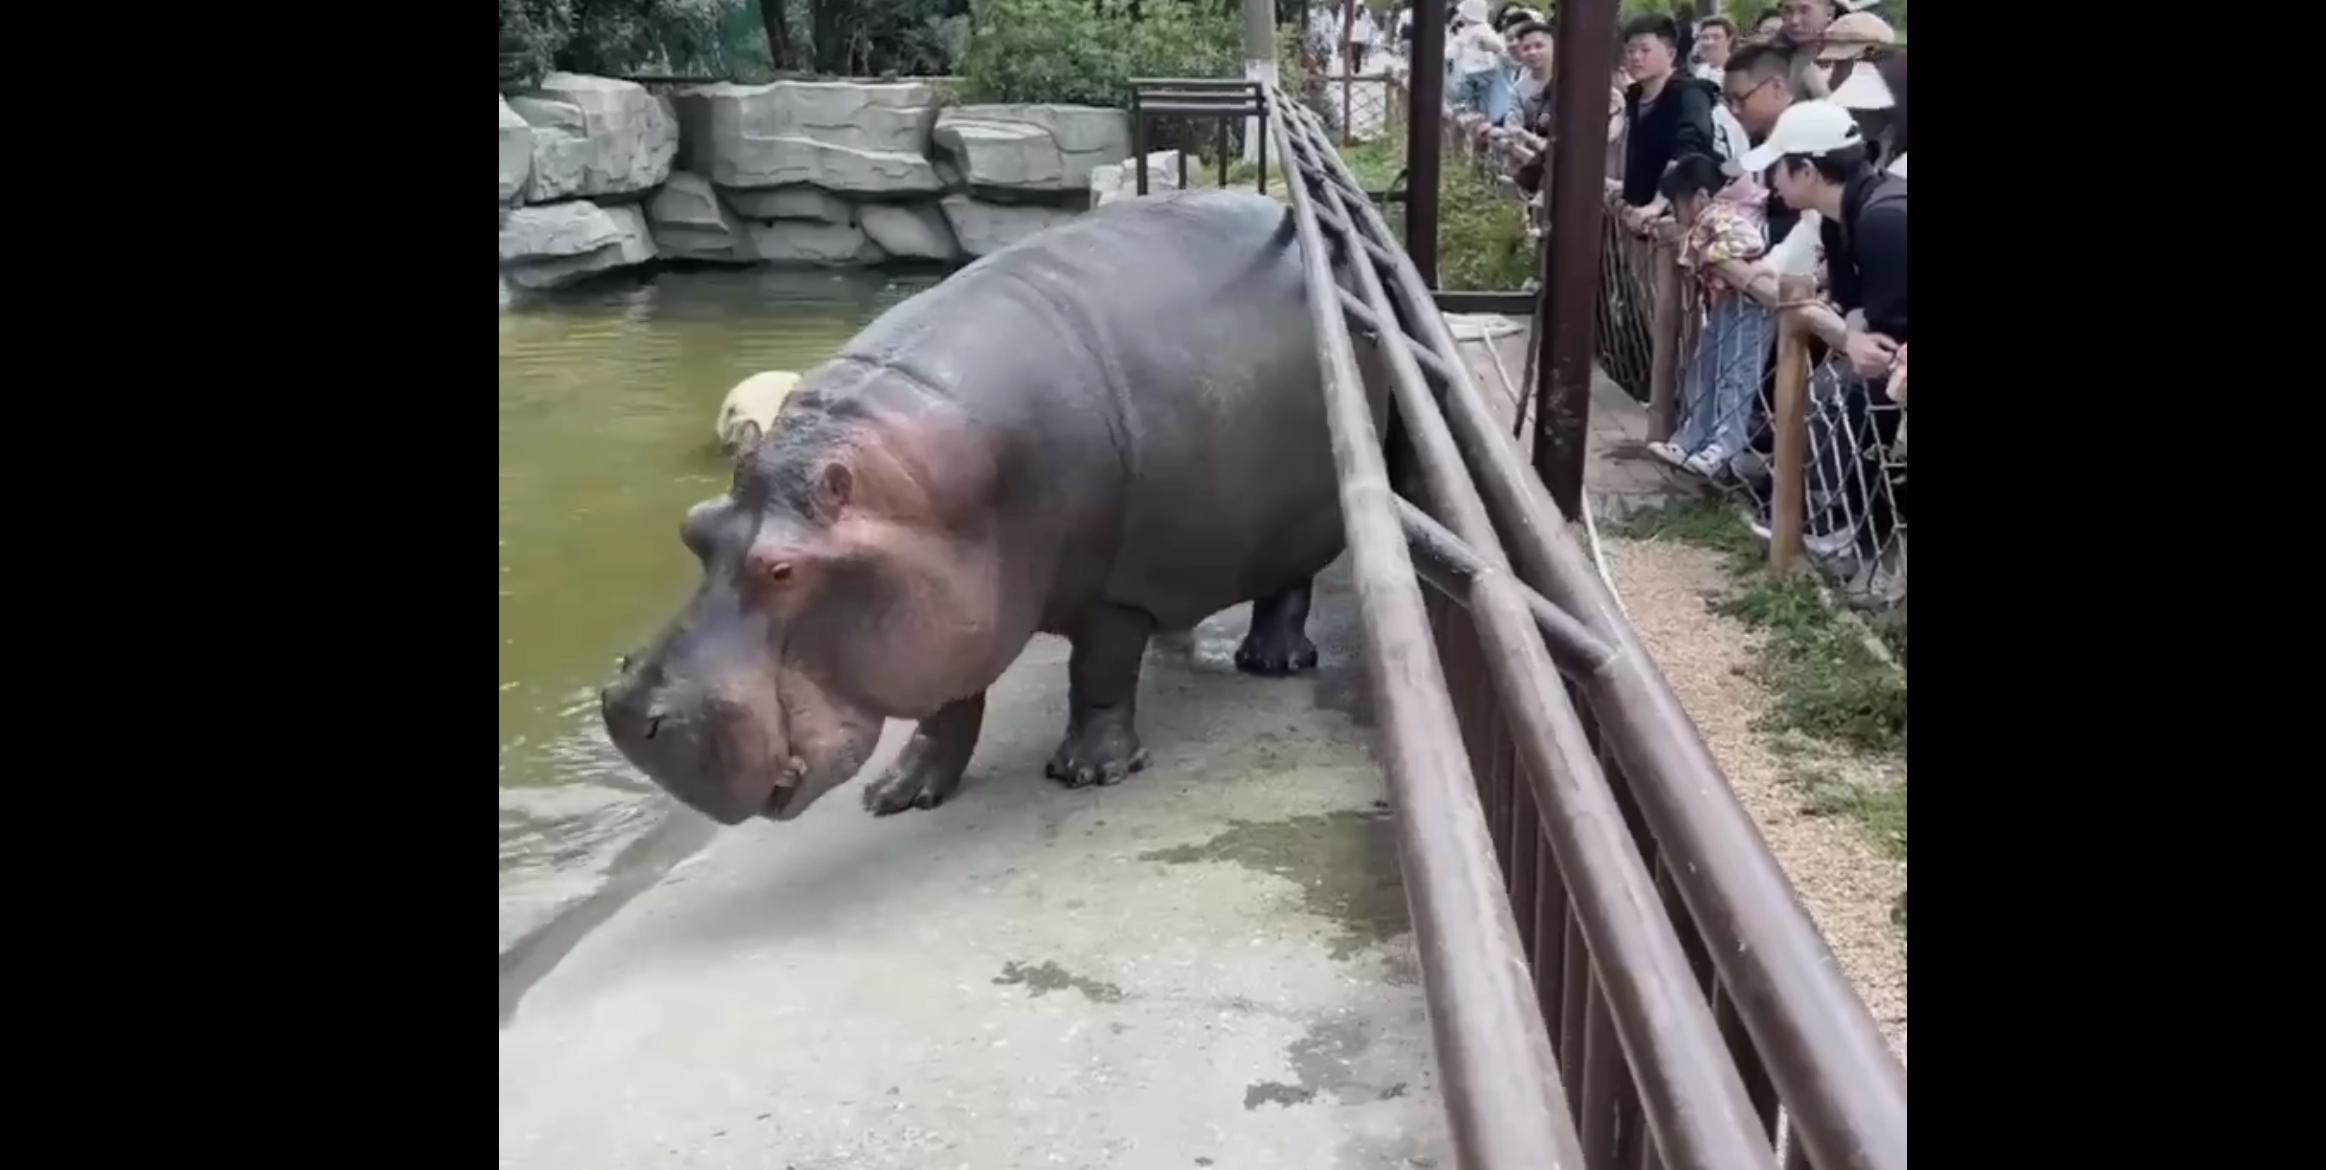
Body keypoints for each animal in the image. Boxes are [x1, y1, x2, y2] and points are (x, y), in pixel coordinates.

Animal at [601, 191, 1359, 824]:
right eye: (694, 527)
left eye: (782, 570)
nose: (627, 711)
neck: (914, 495)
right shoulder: (946, 612)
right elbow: (947, 708)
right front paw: (897, 794)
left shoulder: (1111, 589)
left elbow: (1099, 672)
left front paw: (1089, 773)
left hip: (1306, 517)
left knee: (1288, 588)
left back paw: (1271, 662)